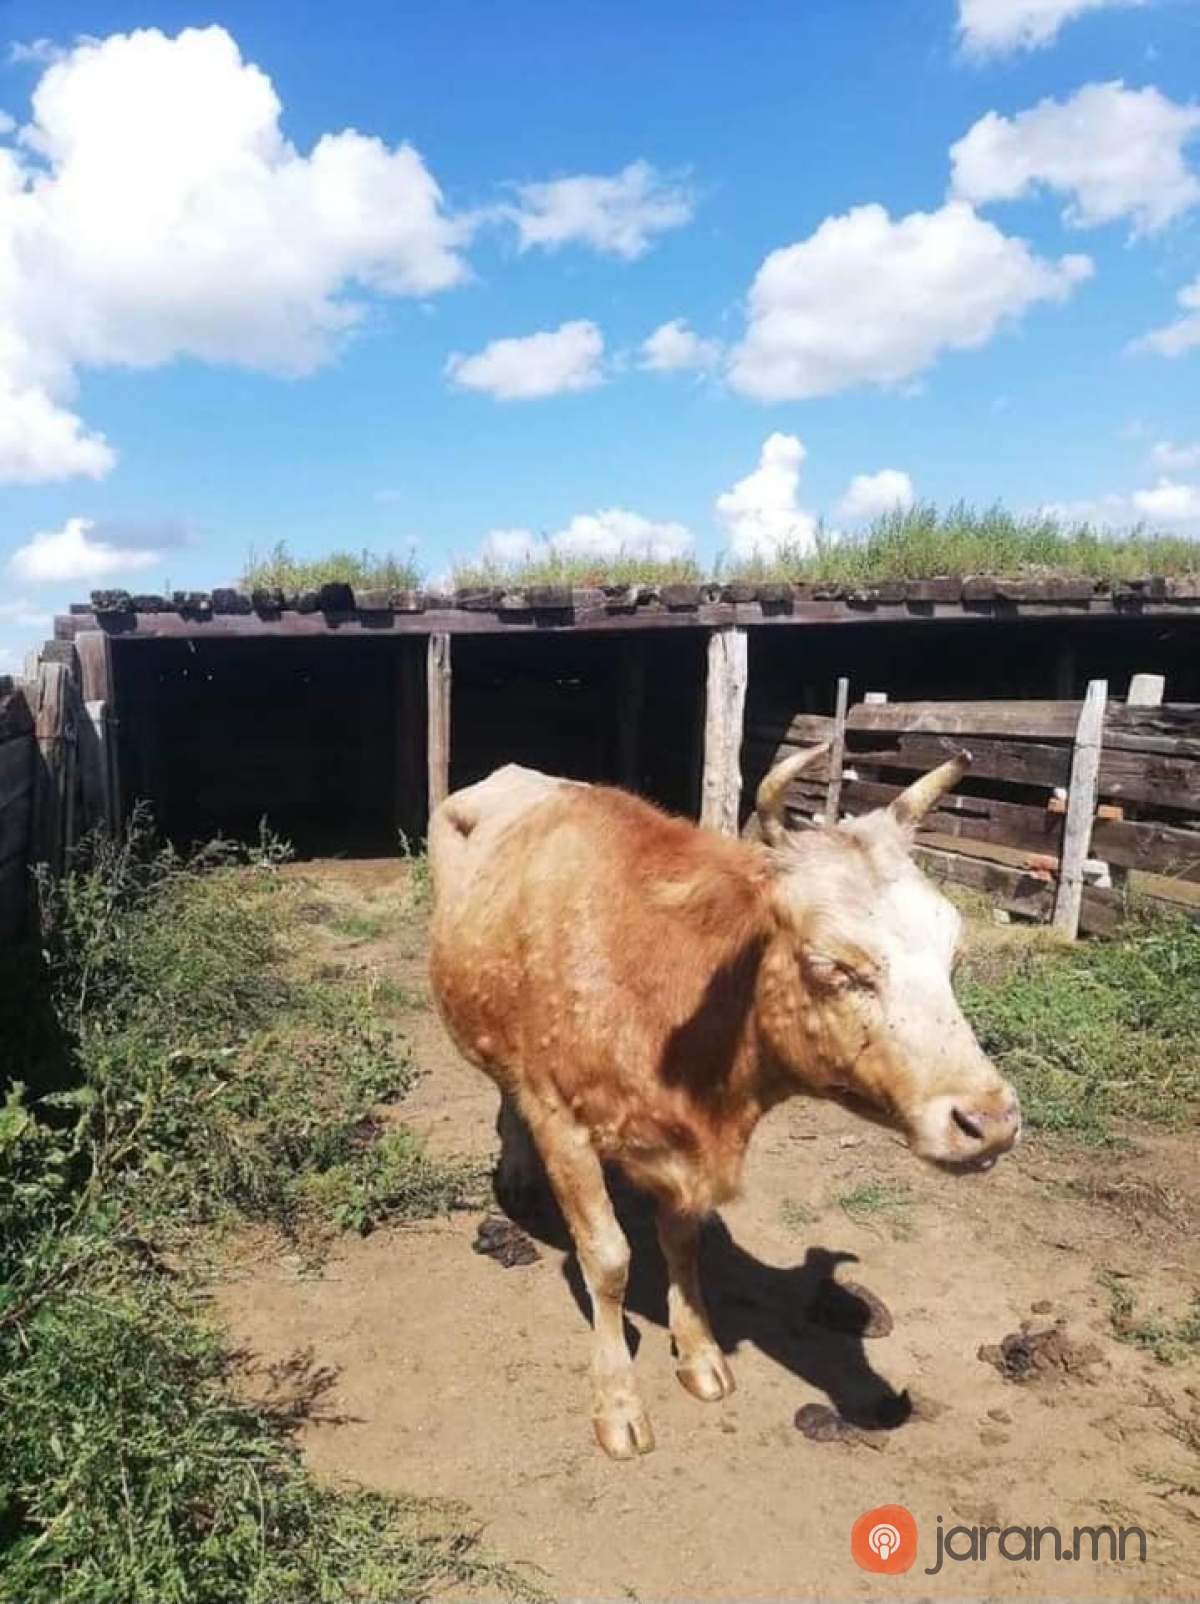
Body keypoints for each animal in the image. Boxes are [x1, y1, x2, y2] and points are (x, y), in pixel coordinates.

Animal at [426, 744, 1020, 1462]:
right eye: (833, 966)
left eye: (952, 953)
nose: (990, 1122)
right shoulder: (560, 1119)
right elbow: (609, 1260)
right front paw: (618, 1401)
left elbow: (682, 1245)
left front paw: (700, 1354)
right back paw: (516, 1173)